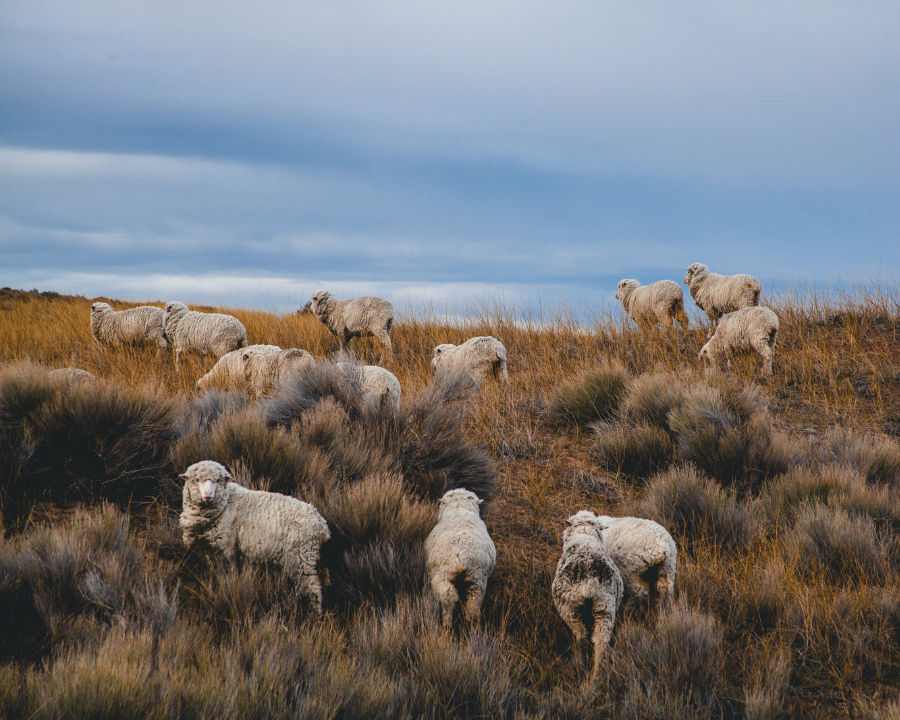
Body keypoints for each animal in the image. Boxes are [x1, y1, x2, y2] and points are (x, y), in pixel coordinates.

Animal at [179, 460, 330, 615]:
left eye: (218, 480)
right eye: (197, 480)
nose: (208, 494)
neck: (225, 503)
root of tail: (321, 524)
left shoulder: (225, 549)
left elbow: (224, 575)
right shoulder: (209, 549)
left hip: (300, 557)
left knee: (312, 587)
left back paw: (314, 614)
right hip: (313, 557)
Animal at [424, 488, 496, 629]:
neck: (460, 510)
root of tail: (462, 555)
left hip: (441, 574)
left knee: (448, 597)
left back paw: (446, 624)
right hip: (477, 580)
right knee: (473, 606)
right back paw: (471, 627)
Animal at [552, 510, 624, 685]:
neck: (585, 536)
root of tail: (590, 582)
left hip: (571, 609)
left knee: (582, 638)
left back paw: (580, 667)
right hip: (605, 609)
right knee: (600, 642)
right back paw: (595, 677)